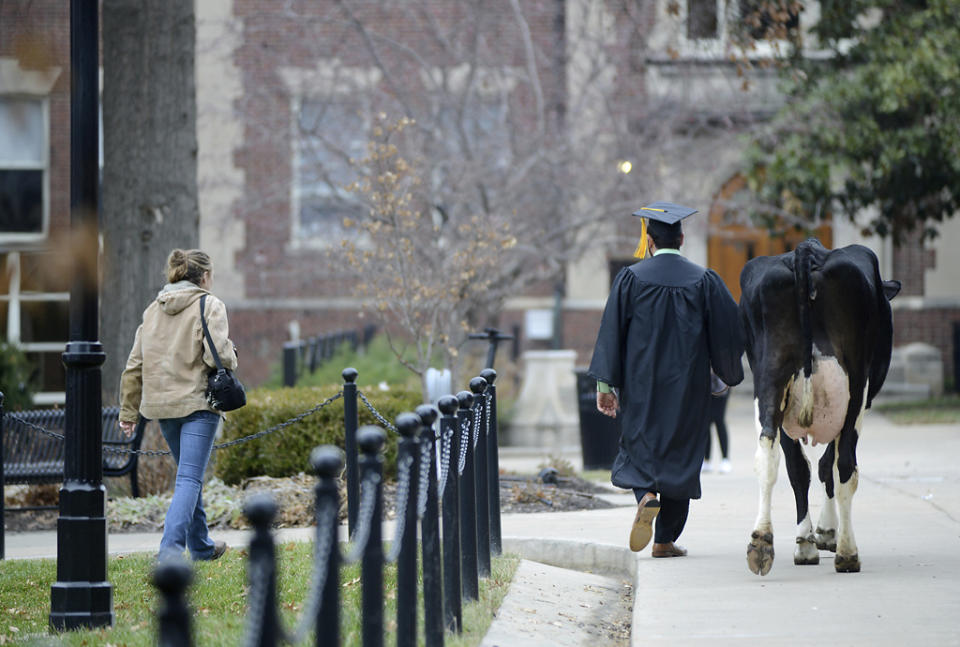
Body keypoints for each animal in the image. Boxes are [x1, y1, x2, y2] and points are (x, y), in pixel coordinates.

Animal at [740, 240, 904, 576]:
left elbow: (799, 469)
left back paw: (765, 542)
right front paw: (828, 532)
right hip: (855, 388)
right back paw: (847, 553)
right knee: (845, 467)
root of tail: (805, 250)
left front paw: (810, 541)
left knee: (772, 456)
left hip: (770, 379)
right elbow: (830, 463)